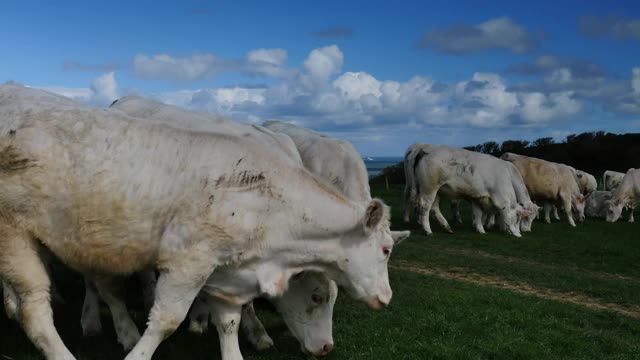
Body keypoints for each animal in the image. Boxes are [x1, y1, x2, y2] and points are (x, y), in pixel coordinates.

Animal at [0, 84, 398, 360]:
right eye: (385, 249)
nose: (386, 297)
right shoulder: (189, 261)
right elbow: (165, 319)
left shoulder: (227, 271)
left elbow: (229, 321)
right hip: (15, 237)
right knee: (38, 309)